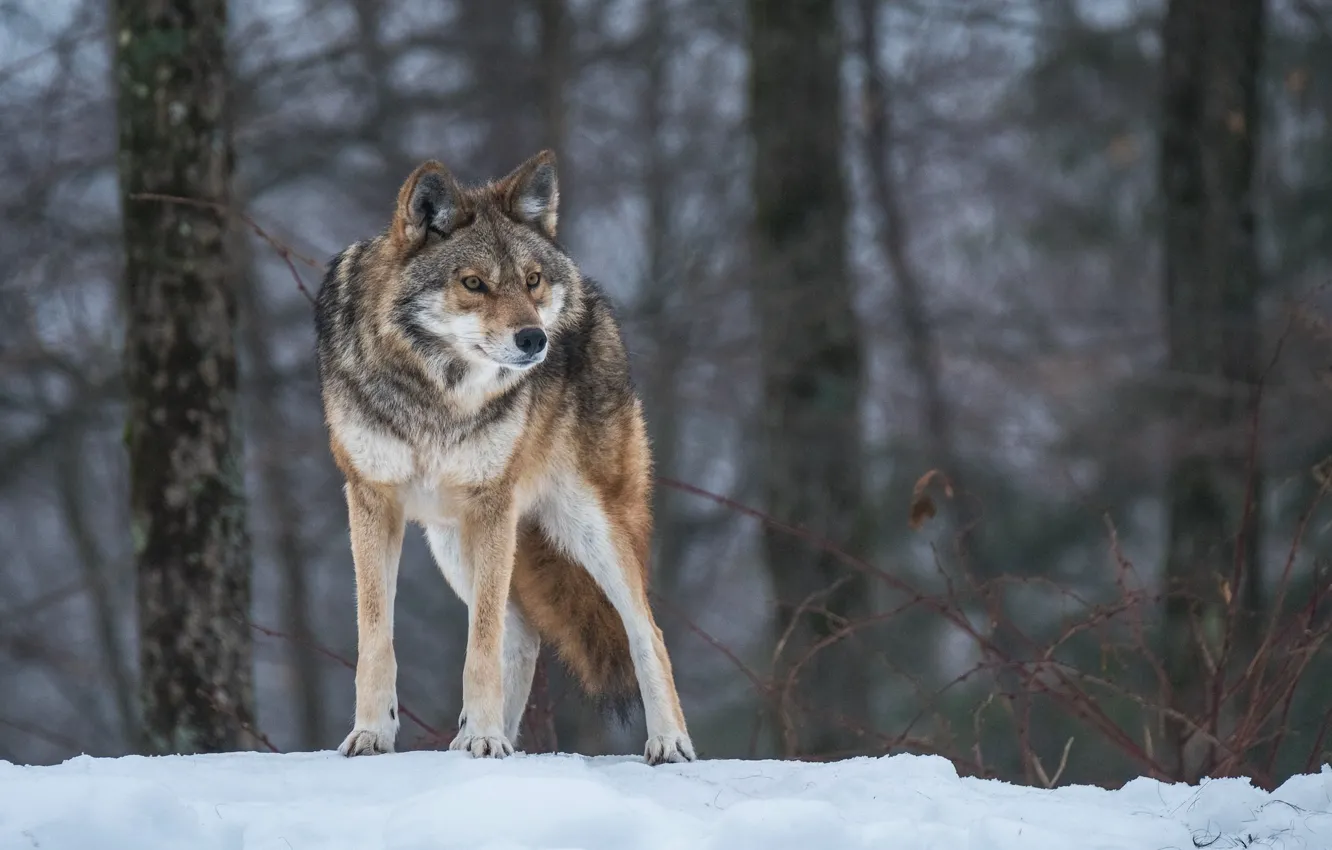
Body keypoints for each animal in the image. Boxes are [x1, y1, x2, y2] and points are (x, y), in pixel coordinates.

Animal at [313, 149, 697, 767]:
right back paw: (474, 738)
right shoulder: (371, 499)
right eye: (474, 284)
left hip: (585, 525)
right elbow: (377, 637)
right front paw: (372, 735)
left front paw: (487, 738)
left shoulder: (490, 504)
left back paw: (667, 742)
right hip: (450, 541)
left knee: (645, 631)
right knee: (522, 634)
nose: (535, 339)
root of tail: (591, 291)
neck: (437, 392)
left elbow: (481, 640)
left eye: (532, 280)